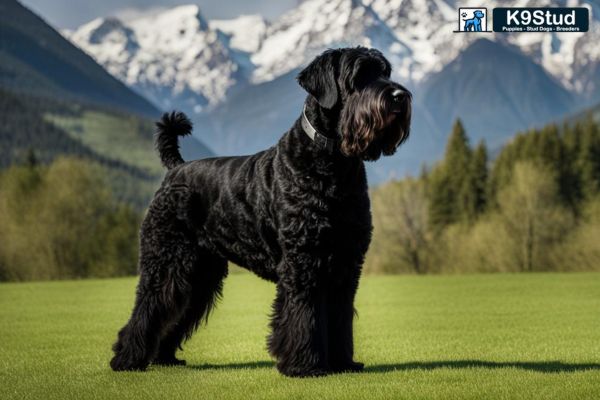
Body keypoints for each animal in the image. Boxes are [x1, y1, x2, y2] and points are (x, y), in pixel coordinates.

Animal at [110, 47, 410, 378]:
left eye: (385, 71)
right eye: (359, 75)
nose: (399, 96)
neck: (331, 161)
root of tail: (176, 168)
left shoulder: (346, 263)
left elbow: (339, 317)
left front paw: (342, 362)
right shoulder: (302, 263)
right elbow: (303, 313)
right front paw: (304, 365)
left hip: (200, 274)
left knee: (175, 309)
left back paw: (164, 357)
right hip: (166, 260)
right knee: (149, 306)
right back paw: (126, 359)